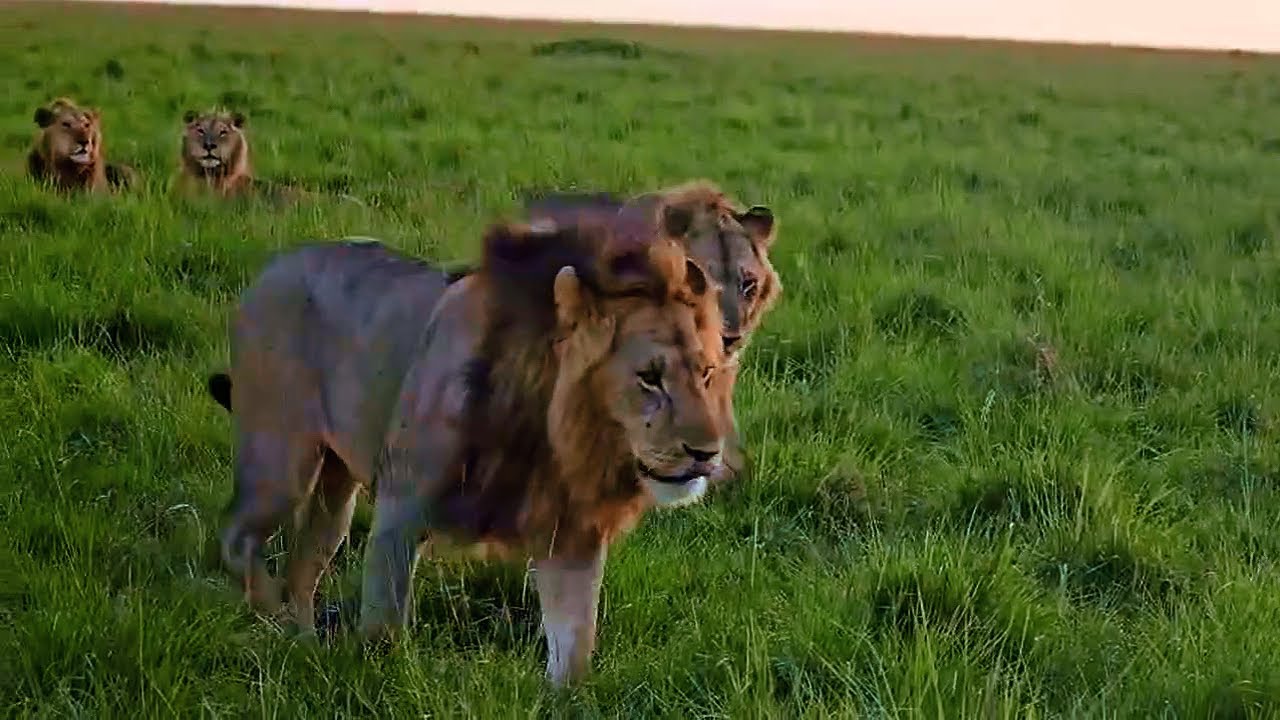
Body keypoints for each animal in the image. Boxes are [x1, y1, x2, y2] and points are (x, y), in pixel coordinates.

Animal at [206, 201, 732, 686]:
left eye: (707, 373)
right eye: (649, 378)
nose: (708, 454)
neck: (555, 439)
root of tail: (270, 268)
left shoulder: (570, 534)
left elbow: (575, 645)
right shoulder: (401, 508)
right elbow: (383, 627)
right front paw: (380, 680)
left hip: (334, 488)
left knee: (302, 564)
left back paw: (304, 644)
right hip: (280, 461)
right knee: (236, 536)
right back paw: (272, 621)